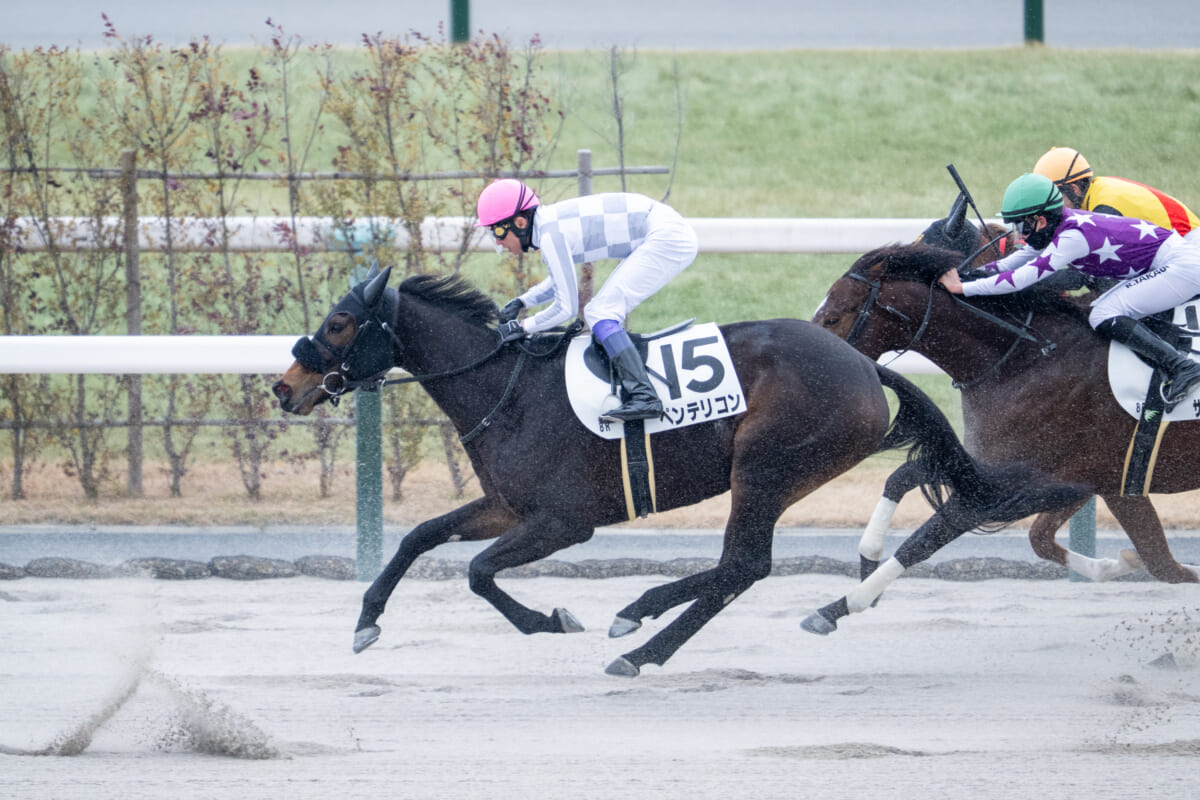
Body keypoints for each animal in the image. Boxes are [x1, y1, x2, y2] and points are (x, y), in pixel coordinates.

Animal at [272, 264, 1085, 674]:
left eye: (340, 323)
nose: (284, 386)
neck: (509, 390)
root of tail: (862, 364)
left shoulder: (564, 521)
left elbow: (476, 572)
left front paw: (551, 619)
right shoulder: (507, 506)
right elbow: (419, 540)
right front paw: (366, 623)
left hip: (766, 466)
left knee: (743, 565)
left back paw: (641, 637)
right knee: (736, 568)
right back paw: (644, 623)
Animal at [802, 234, 1200, 634]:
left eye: (833, 316)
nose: (812, 362)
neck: (1023, 360)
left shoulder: (1006, 489)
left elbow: (921, 542)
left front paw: (835, 608)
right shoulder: (1053, 477)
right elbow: (903, 477)